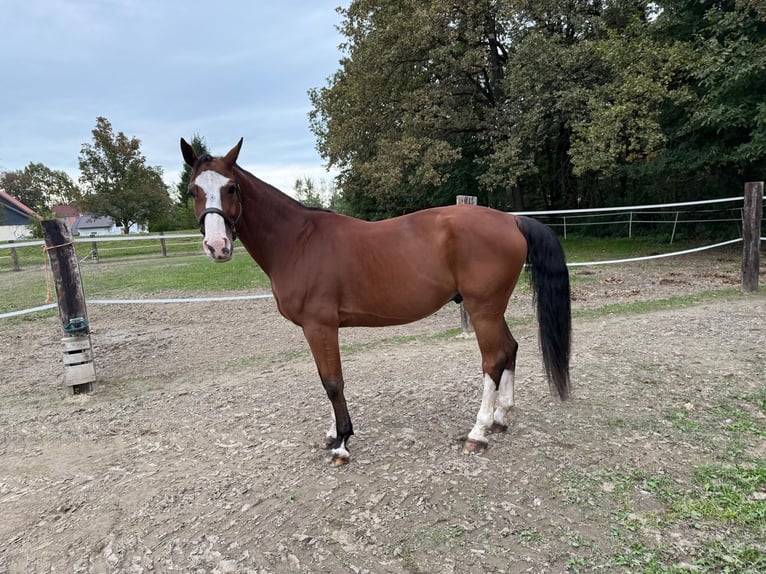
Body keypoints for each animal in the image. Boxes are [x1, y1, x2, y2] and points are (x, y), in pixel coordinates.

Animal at [181, 138, 571, 466]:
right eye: (193, 190)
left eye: (231, 187)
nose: (217, 247)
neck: (297, 241)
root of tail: (511, 220)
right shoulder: (316, 329)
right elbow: (326, 378)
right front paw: (332, 433)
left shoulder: (320, 326)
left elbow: (333, 381)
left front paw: (342, 443)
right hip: (491, 309)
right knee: (510, 348)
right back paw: (501, 418)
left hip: (483, 309)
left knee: (493, 360)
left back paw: (478, 432)